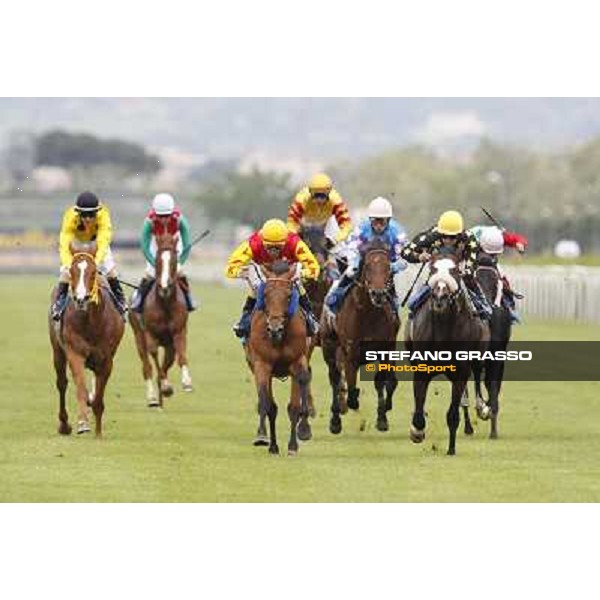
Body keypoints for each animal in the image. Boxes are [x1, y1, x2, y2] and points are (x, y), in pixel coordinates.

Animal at [48, 243, 125, 436]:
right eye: (71, 271)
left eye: (93, 271)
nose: (81, 299)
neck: (92, 323)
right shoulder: (75, 352)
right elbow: (80, 388)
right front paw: (82, 423)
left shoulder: (106, 359)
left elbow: (98, 397)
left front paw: (98, 433)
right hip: (57, 350)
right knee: (62, 383)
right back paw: (64, 425)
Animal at [129, 232, 192, 406]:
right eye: (157, 259)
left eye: (174, 260)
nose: (164, 287)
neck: (165, 305)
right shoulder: (150, 334)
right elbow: (154, 356)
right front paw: (165, 387)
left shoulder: (179, 331)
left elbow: (181, 355)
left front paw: (186, 382)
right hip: (138, 337)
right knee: (147, 367)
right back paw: (152, 397)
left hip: (168, 344)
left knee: (168, 361)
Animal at [245, 260, 312, 458]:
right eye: (265, 295)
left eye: (289, 296)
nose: (275, 329)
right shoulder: (261, 364)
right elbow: (266, 403)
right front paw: (261, 436)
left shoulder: (298, 361)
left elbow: (295, 405)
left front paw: (299, 437)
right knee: (272, 407)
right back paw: (273, 446)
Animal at [322, 240, 400, 436]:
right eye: (368, 267)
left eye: (388, 268)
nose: (378, 293)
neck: (369, 315)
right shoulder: (351, 354)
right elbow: (351, 392)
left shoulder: (386, 350)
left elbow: (382, 381)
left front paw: (382, 418)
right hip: (328, 346)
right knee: (334, 379)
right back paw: (335, 421)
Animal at [406, 253, 490, 454]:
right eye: (432, 269)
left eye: (455, 271)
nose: (440, 297)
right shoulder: (422, 369)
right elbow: (419, 409)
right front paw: (417, 431)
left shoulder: (460, 372)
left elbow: (453, 414)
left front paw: (451, 449)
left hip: (478, 356)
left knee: (477, 376)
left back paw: (482, 407)